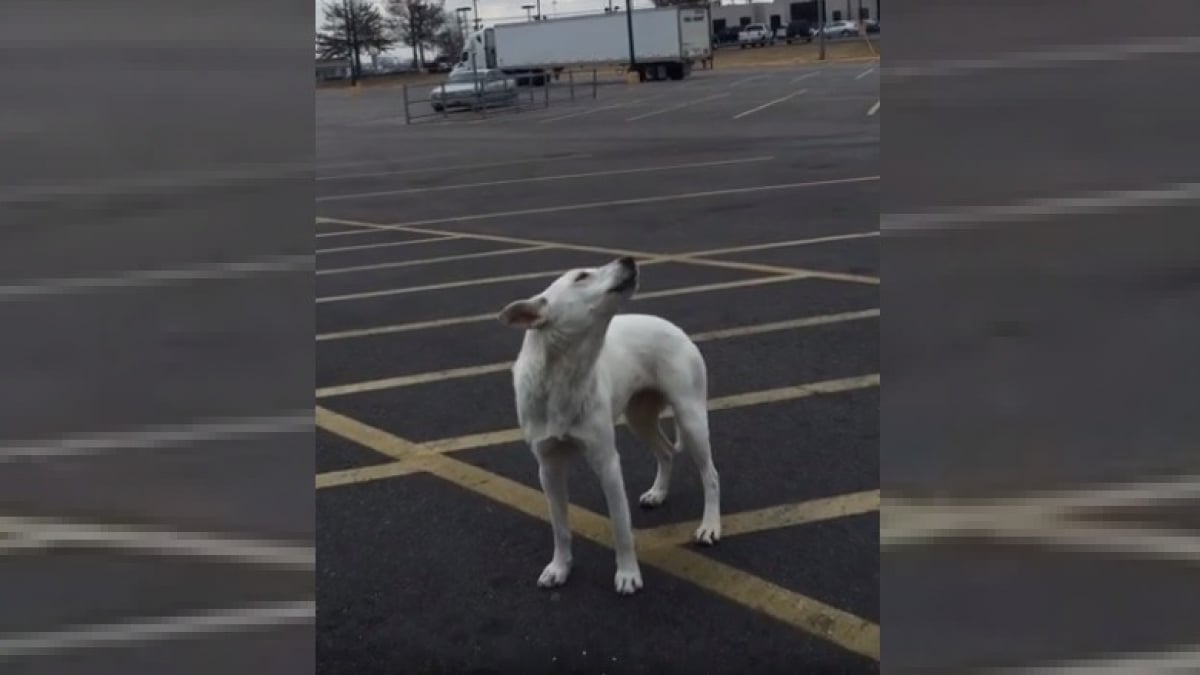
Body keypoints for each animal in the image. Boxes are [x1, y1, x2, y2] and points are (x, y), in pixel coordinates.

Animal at [499, 257, 720, 593]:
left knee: (711, 475)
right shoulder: (548, 468)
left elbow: (620, 525)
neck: (563, 377)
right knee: (666, 451)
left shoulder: (607, 463)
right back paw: (658, 492)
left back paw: (709, 526)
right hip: (639, 417)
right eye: (581, 277)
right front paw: (559, 568)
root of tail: (673, 326)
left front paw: (628, 574)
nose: (628, 259)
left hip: (691, 417)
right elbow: (560, 527)